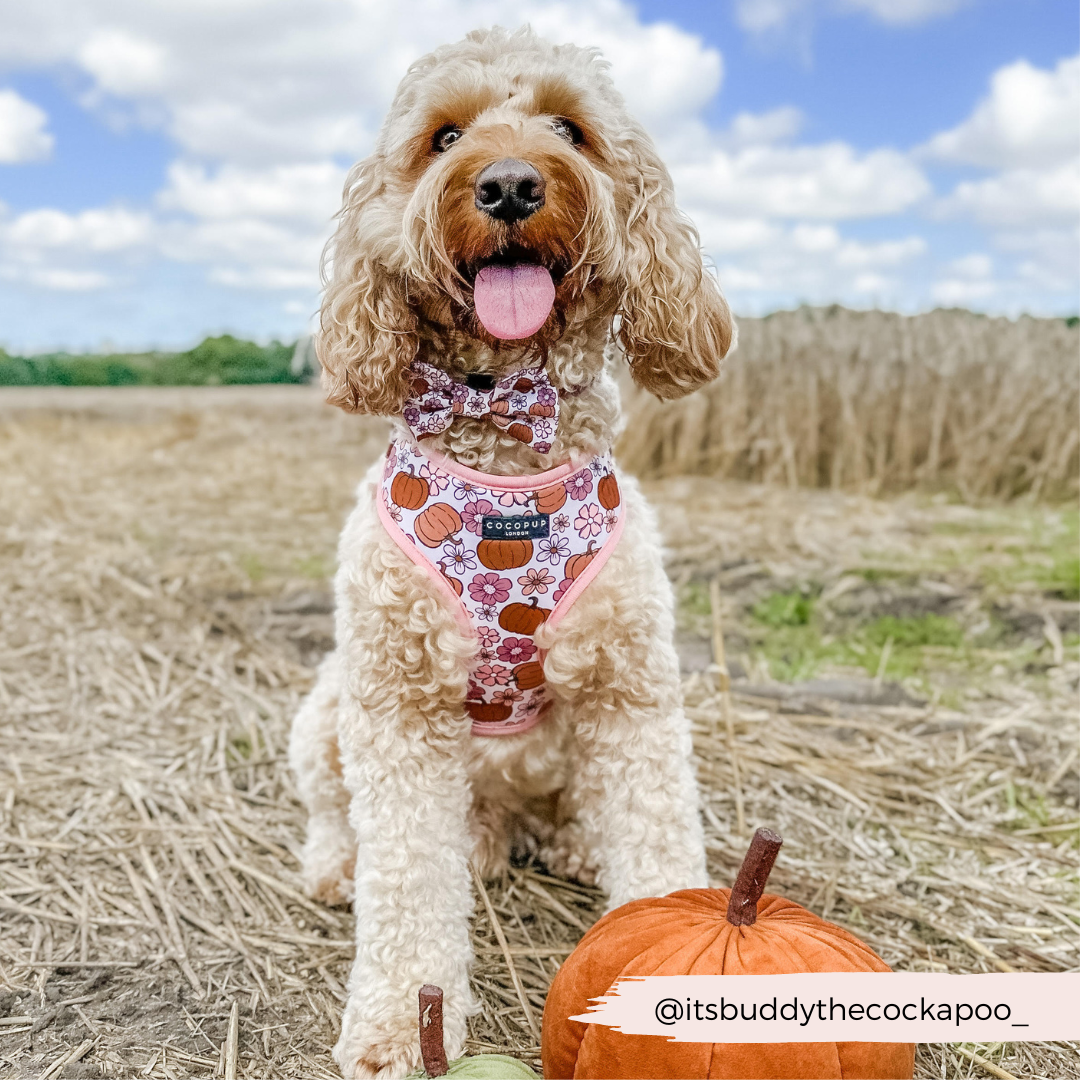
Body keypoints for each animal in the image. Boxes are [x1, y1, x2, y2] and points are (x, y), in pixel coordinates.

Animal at [289, 27, 734, 1080]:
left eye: (570, 128)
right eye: (444, 136)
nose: (508, 186)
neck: (504, 426)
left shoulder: (631, 692)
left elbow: (656, 832)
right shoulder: (397, 705)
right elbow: (408, 882)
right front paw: (396, 1027)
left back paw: (566, 842)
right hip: (328, 707)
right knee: (334, 810)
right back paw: (343, 867)